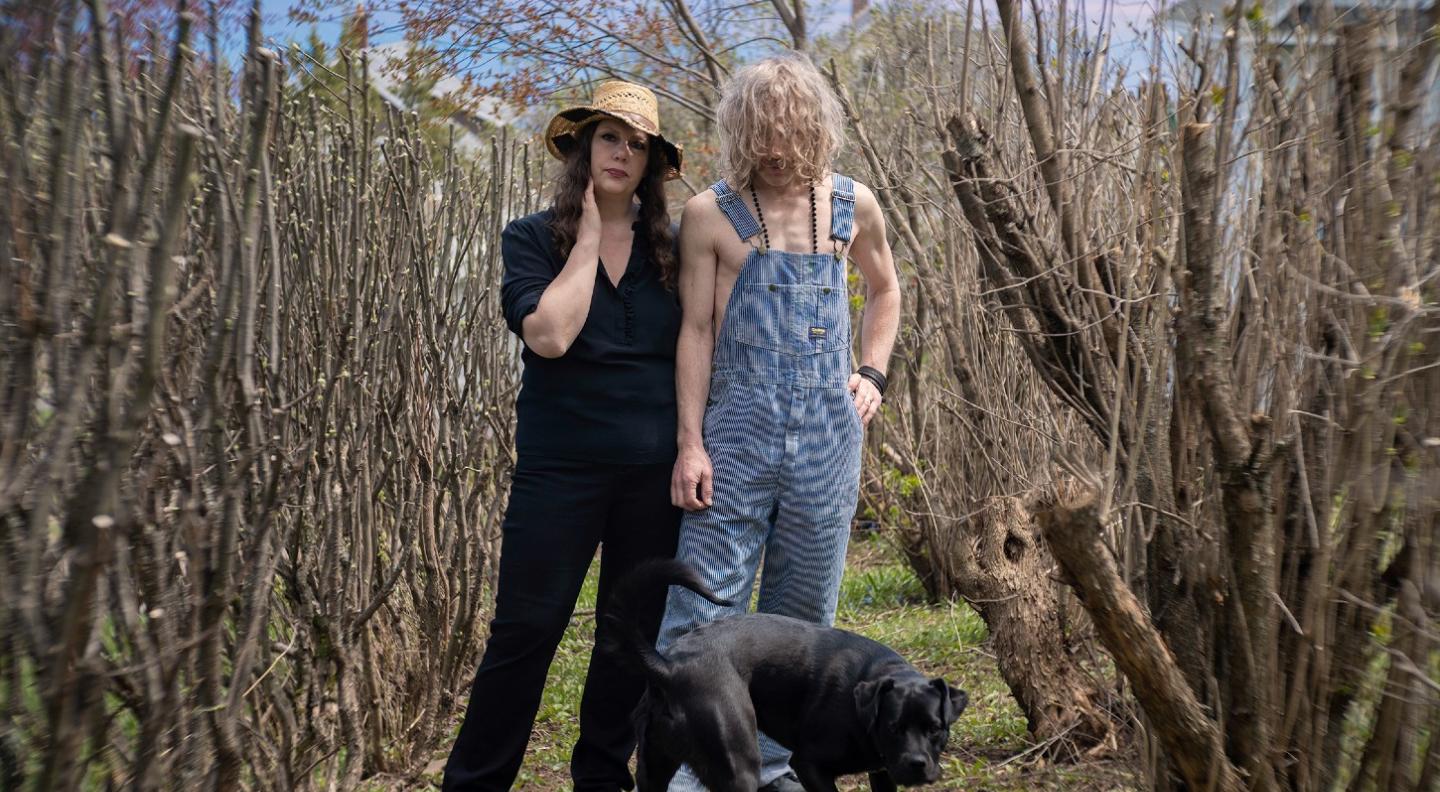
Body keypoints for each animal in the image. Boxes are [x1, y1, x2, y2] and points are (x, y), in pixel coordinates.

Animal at [601, 561, 973, 789]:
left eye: (935, 729)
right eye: (893, 728)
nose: (917, 765)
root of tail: (669, 666)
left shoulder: (882, 773)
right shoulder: (810, 765)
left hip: (654, 767)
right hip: (739, 766)